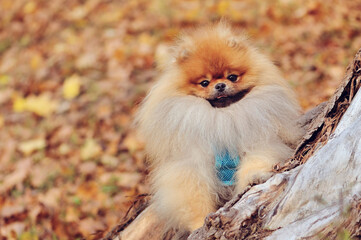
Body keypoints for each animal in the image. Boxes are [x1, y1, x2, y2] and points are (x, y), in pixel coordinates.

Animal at [135, 22, 304, 232]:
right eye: (204, 82)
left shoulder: (259, 144)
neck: (222, 117)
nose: (220, 85)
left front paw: (253, 179)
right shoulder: (191, 166)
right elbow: (194, 197)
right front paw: (199, 223)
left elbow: (255, 163)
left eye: (232, 77)